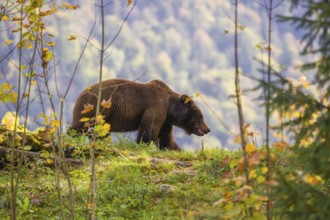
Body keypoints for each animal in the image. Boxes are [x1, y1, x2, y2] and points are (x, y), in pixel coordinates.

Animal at [68, 78, 210, 150]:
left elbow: (165, 138)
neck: (170, 108)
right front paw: (142, 144)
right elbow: (148, 130)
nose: (207, 129)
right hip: (94, 107)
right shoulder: (156, 107)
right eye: (200, 115)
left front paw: (176, 149)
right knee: (79, 125)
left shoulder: (165, 119)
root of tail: (81, 93)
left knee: (100, 132)